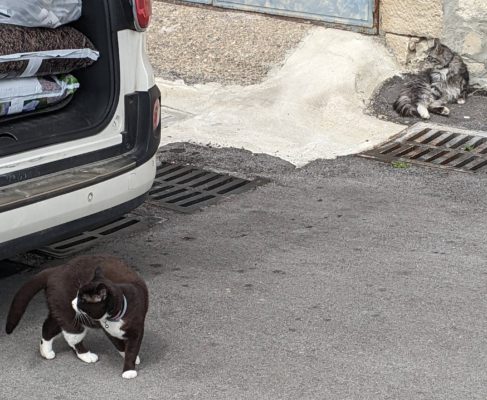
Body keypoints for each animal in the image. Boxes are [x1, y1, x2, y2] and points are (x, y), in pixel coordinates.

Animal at [4, 255, 149, 380]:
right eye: (77, 295)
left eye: (81, 300)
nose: (73, 302)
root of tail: (56, 270)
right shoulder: (108, 330)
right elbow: (120, 344)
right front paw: (129, 370)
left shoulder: (137, 329)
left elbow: (132, 347)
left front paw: (130, 361)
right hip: (69, 314)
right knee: (72, 337)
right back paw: (87, 355)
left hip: (60, 310)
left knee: (48, 326)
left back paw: (46, 352)